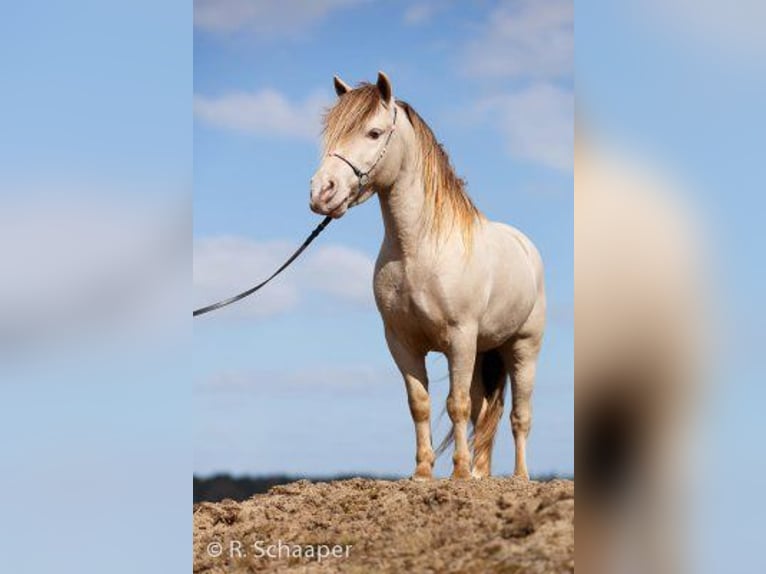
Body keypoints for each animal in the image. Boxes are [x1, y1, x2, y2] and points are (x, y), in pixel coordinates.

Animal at [308, 72, 544, 482]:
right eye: (331, 133)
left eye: (373, 132)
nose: (322, 192)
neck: (419, 250)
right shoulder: (402, 342)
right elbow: (420, 403)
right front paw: (422, 472)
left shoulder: (460, 338)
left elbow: (457, 404)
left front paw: (459, 473)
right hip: (485, 351)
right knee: (487, 410)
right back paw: (482, 473)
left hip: (522, 349)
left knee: (519, 416)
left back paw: (518, 477)